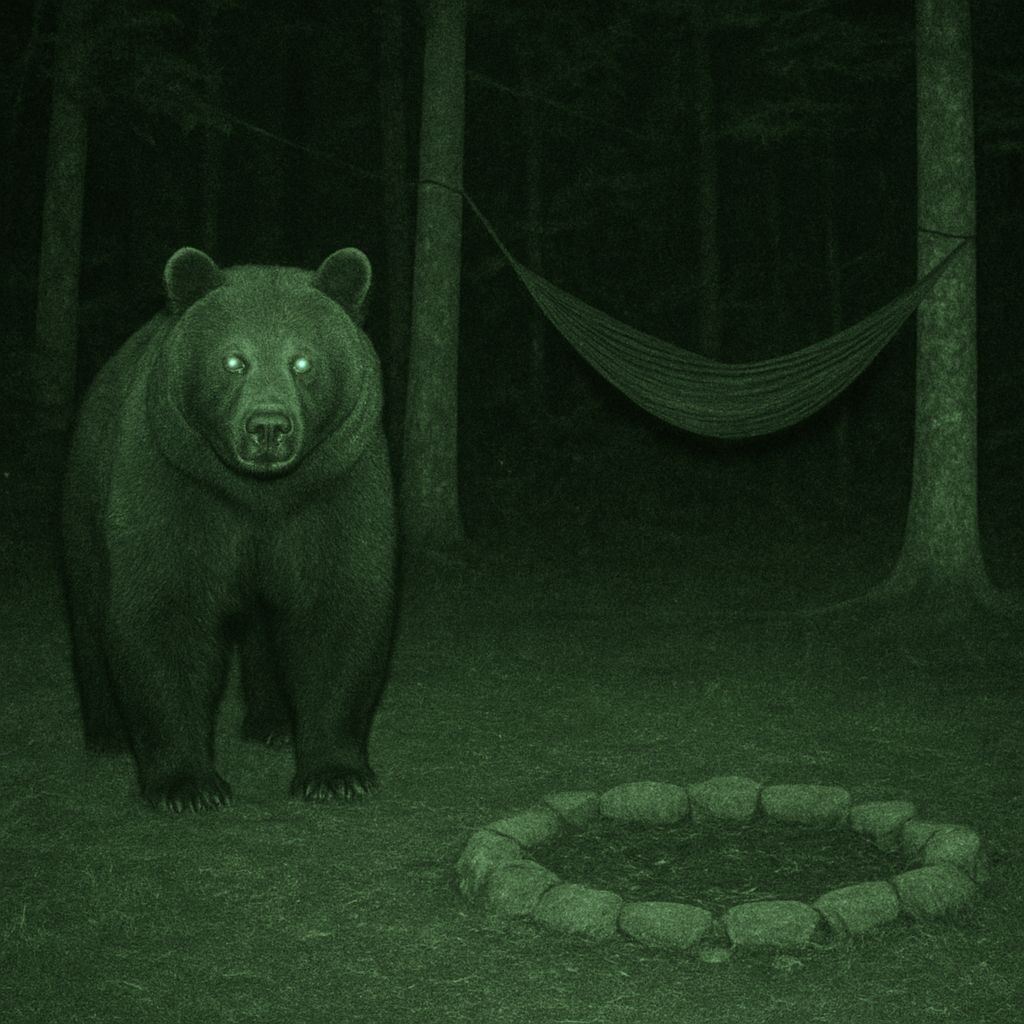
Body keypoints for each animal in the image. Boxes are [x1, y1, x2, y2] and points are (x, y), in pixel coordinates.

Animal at [61, 246, 397, 812]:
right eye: (234, 361)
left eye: (303, 361)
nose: (268, 427)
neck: (259, 493)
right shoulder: (173, 483)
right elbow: (162, 609)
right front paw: (187, 785)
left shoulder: (336, 484)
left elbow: (338, 607)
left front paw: (336, 773)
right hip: (86, 500)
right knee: (88, 608)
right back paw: (106, 734)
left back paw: (272, 723)